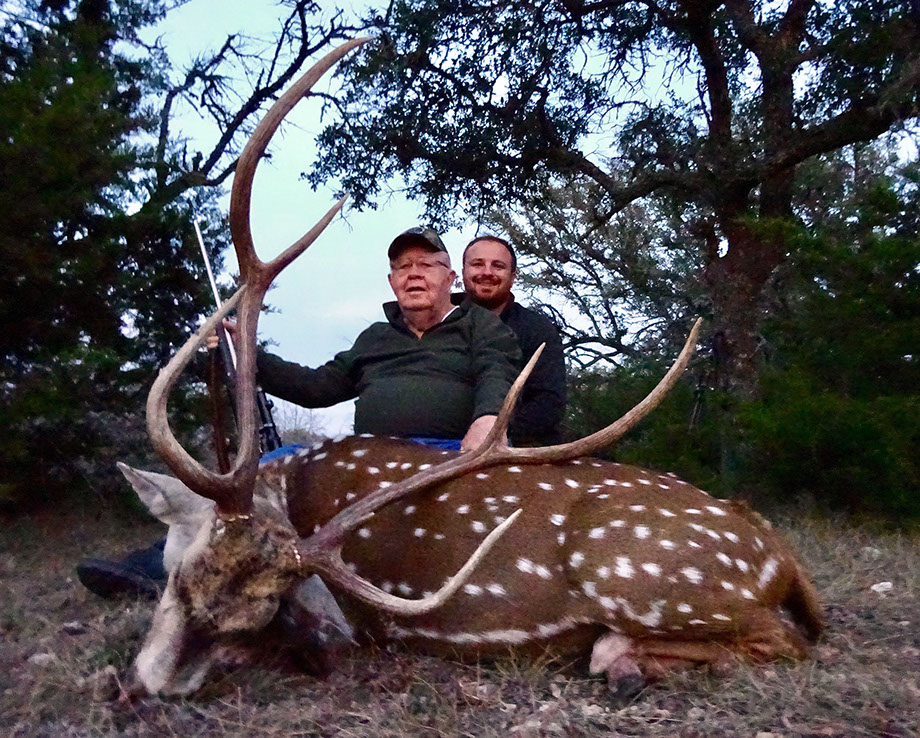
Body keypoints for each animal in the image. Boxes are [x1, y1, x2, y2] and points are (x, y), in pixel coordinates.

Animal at [124, 37, 824, 698]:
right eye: (179, 579)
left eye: (258, 616)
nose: (147, 685)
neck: (292, 491)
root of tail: (779, 553)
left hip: (645, 575)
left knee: (785, 640)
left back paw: (622, 659)